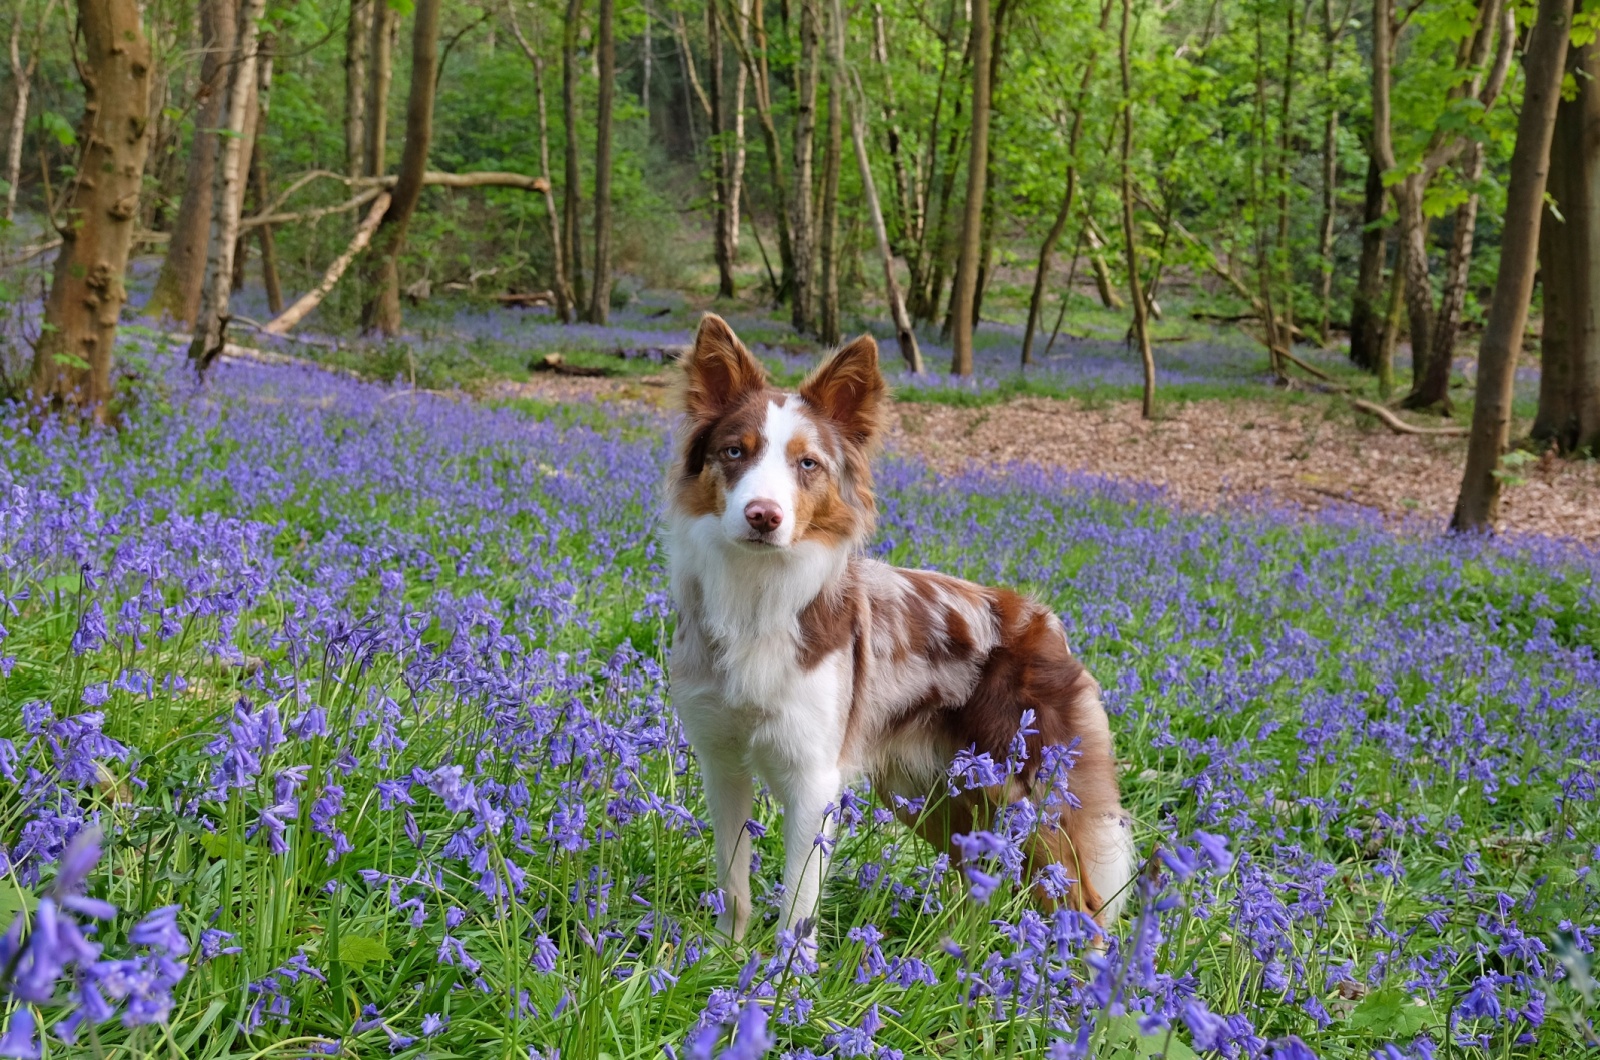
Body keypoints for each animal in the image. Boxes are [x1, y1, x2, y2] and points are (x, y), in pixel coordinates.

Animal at [662, 315, 1139, 947]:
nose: (763, 515)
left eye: (807, 464)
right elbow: (731, 879)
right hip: (930, 796)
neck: (758, 595)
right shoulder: (722, 763)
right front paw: (722, 956)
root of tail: (1046, 623)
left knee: (1082, 904)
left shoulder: (813, 780)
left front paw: (787, 971)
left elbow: (798, 903)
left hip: (1030, 797)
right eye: (735, 451)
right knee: (973, 877)